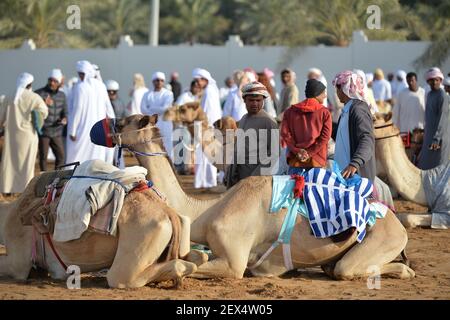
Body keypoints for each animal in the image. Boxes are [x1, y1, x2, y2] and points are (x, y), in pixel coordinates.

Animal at [0, 168, 207, 288]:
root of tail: (169, 212)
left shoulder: (19, 259)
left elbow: (13, 267)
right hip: (179, 229)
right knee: (199, 256)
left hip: (144, 233)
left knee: (121, 278)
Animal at [110, 114, 414, 280]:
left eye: (124, 122)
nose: (108, 124)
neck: (204, 213)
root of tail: (395, 220)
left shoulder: (234, 260)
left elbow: (196, 266)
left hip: (383, 239)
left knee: (348, 268)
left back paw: (405, 270)